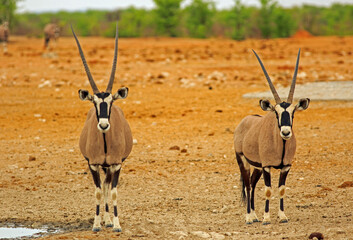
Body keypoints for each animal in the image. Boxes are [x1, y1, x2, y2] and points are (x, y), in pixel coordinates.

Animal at [71, 24, 132, 232]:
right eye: (94, 102)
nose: (104, 125)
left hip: (110, 167)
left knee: (107, 186)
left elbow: (112, 192)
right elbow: (98, 191)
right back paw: (105, 220)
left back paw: (109, 220)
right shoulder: (93, 164)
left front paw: (116, 224)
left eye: (111, 102)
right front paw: (97, 224)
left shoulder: (116, 164)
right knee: (103, 187)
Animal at [232, 49, 310, 225]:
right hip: (242, 160)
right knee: (247, 185)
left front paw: (282, 216)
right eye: (276, 113)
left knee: (252, 184)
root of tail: (244, 121)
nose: (286, 132)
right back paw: (249, 217)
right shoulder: (267, 166)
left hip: (257, 166)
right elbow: (268, 191)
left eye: (293, 113)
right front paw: (266, 218)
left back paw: (254, 215)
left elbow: (281, 189)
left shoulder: (285, 166)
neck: (280, 146)